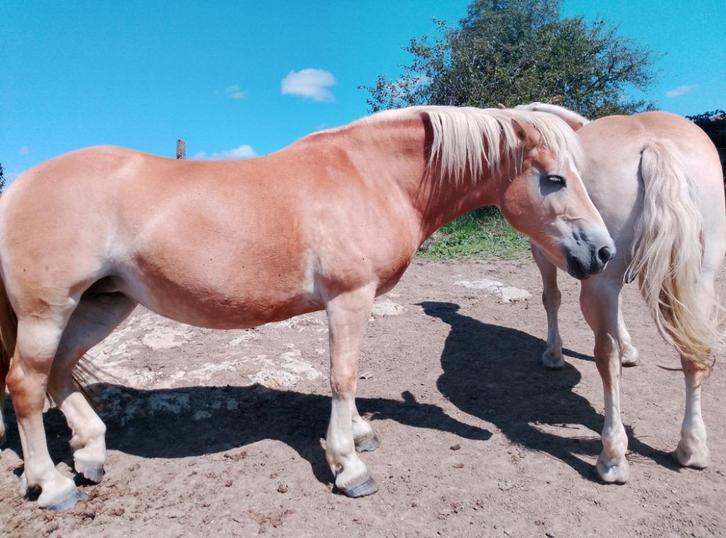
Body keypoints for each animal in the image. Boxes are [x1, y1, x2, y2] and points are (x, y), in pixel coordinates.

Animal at [0, 105, 614, 510]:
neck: (370, 176)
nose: (603, 252)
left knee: (60, 371)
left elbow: (350, 377)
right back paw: (52, 485)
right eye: (554, 178)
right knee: (26, 383)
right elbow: (343, 376)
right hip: (47, 311)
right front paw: (349, 466)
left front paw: (361, 433)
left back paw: (89, 454)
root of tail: (19, 186)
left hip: (105, 303)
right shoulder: (348, 298)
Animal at [516, 102, 725, 484]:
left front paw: (553, 354)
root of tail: (653, 143)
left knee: (606, 357)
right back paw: (692, 447)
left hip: (601, 284)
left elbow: (551, 299)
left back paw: (612, 457)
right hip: (698, 281)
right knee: (693, 353)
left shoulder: (547, 255)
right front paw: (631, 349)